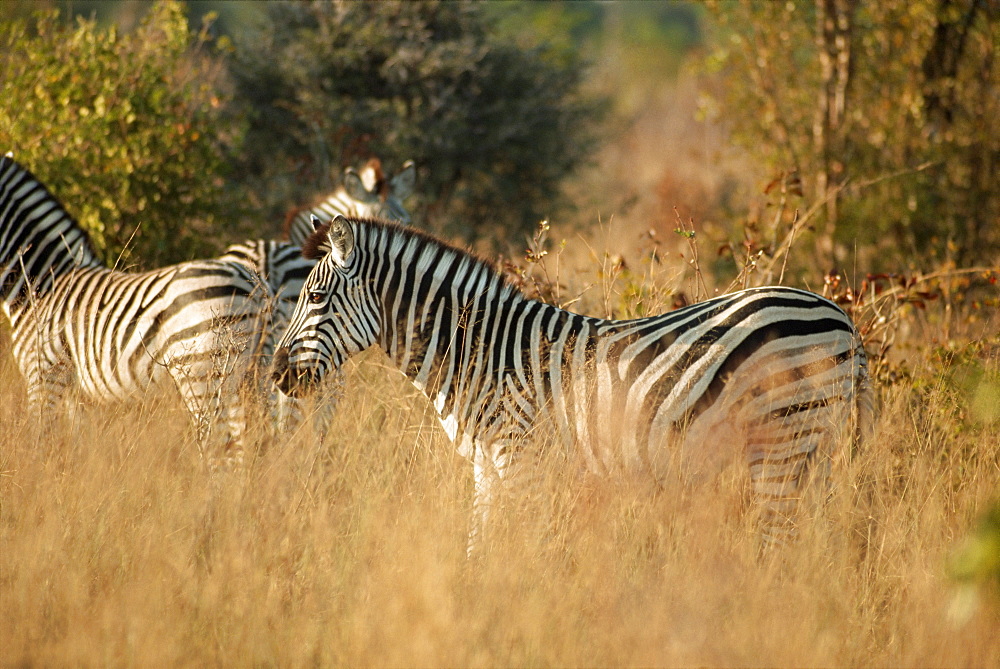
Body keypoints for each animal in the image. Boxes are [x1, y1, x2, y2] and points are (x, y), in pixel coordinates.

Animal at [0, 155, 270, 464]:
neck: (44, 283)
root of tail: (250, 282)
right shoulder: (77, 395)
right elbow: (81, 444)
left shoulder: (44, 374)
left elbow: (40, 440)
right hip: (244, 376)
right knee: (241, 445)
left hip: (202, 372)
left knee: (216, 444)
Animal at [276, 215, 876, 552]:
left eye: (315, 297)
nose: (279, 375)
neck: (484, 355)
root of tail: (841, 316)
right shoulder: (487, 467)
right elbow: (479, 549)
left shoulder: (523, 461)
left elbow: (529, 550)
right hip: (813, 449)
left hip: (783, 440)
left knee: (779, 543)